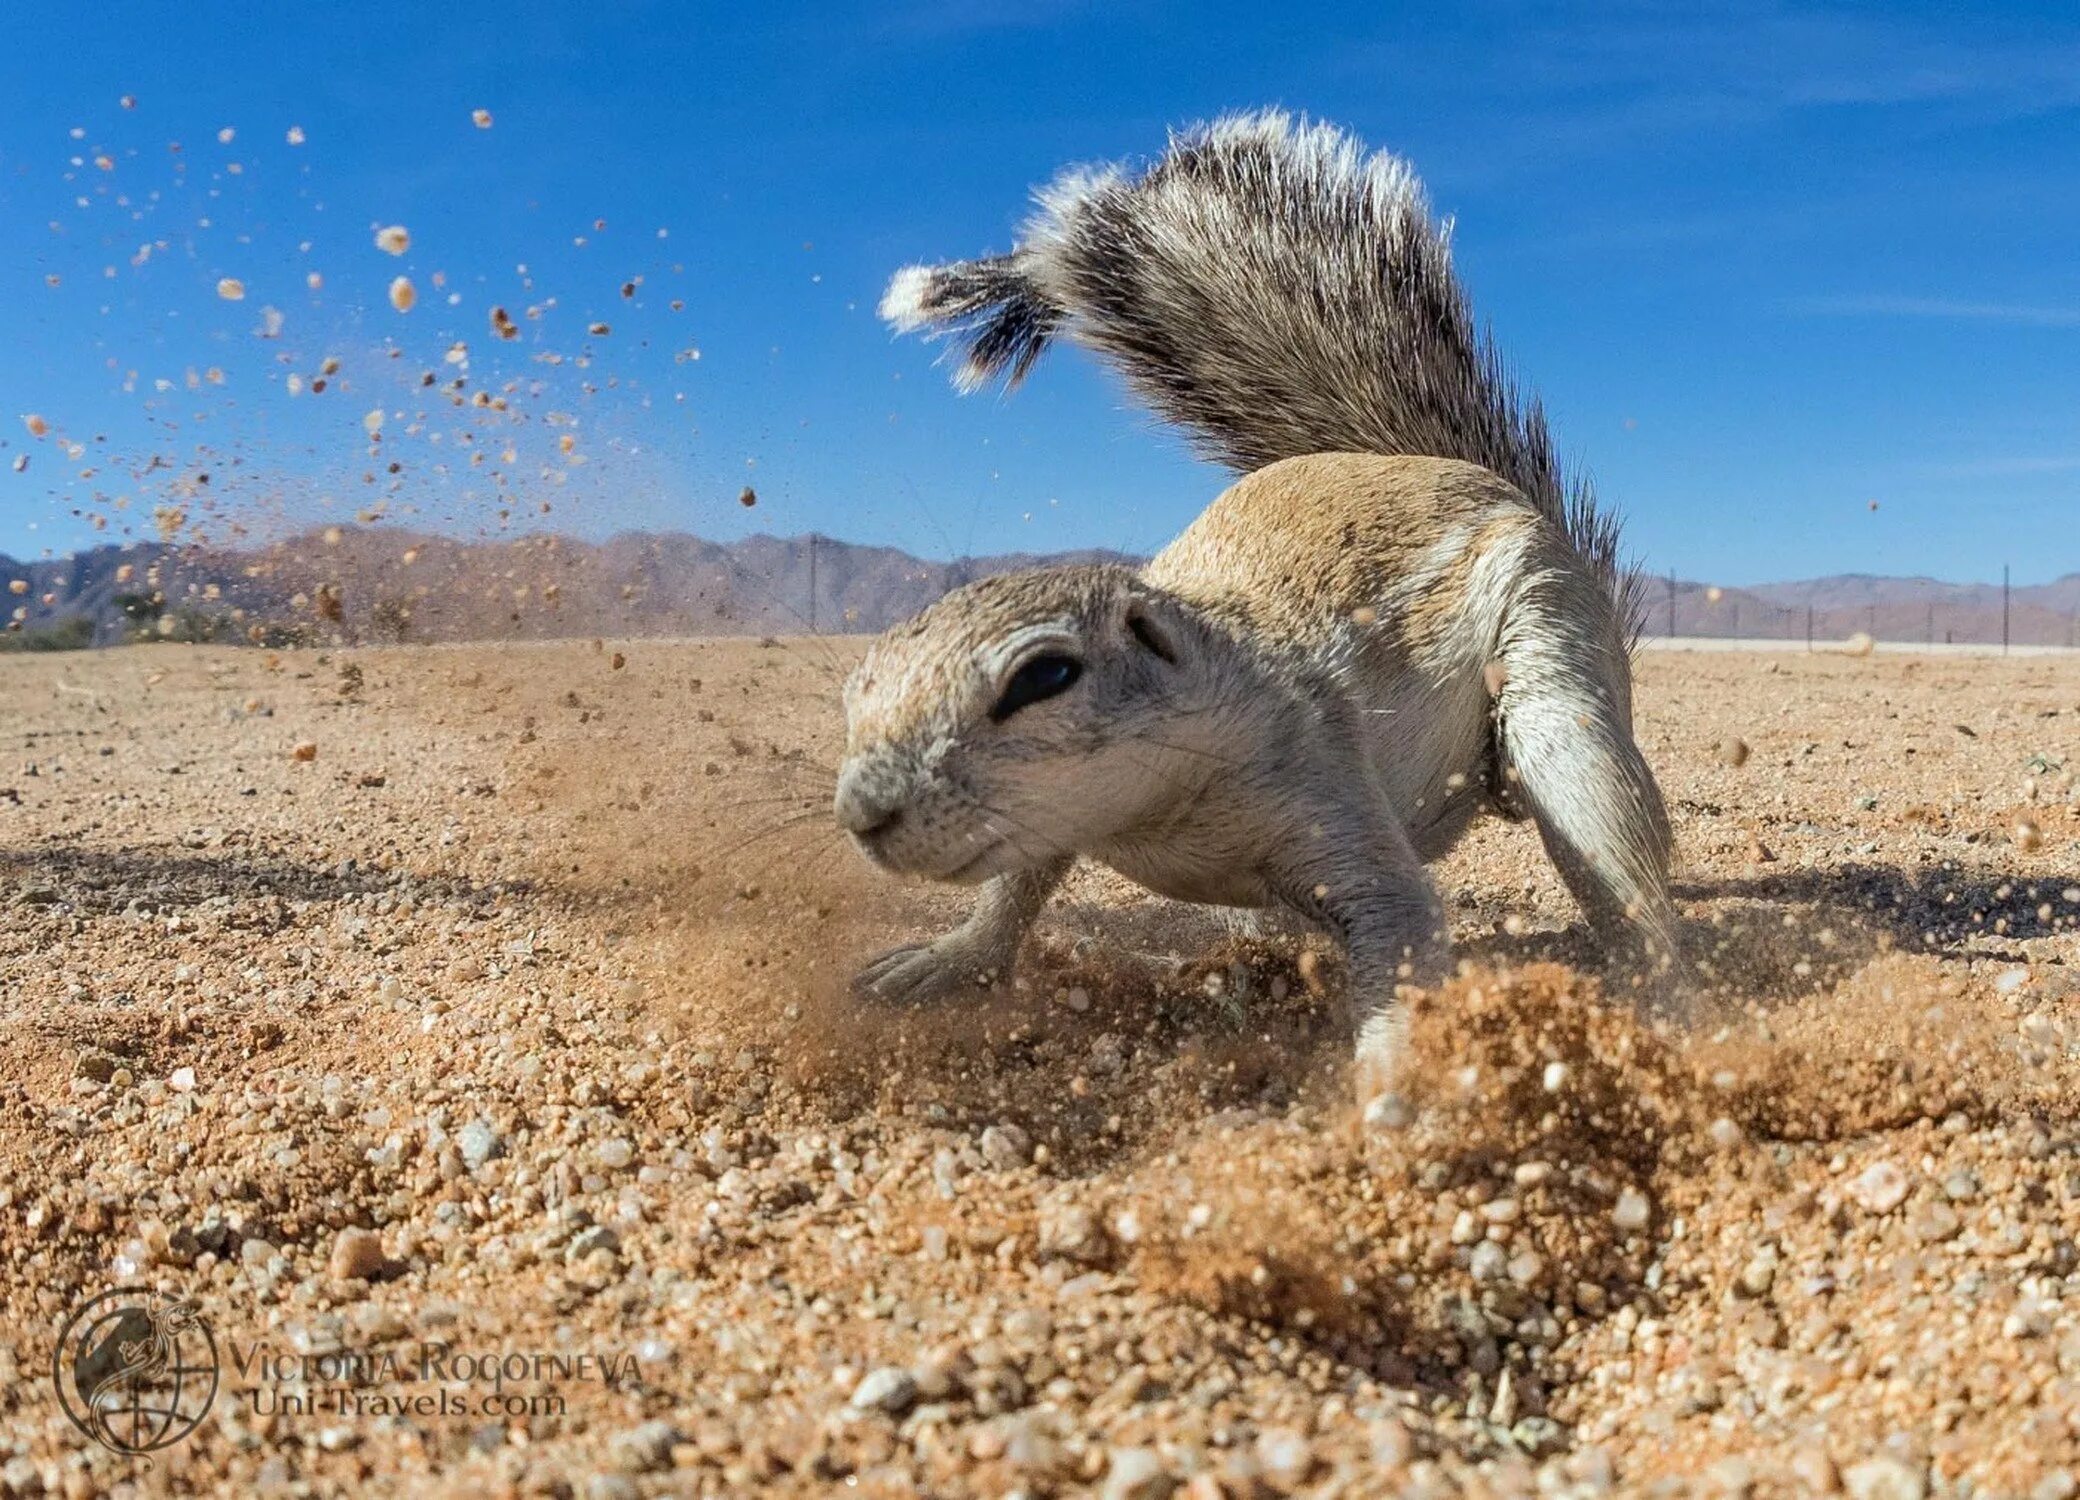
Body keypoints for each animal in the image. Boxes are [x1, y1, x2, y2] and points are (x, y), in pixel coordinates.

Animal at [836, 111, 1680, 1090]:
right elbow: (1017, 885)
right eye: (855, 684)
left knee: (1612, 859)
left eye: (1043, 677)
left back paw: (1663, 1013)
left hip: (1552, 654)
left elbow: (1400, 925)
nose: (862, 814)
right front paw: (948, 958)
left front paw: (1384, 1084)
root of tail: (1473, 477)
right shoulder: (1056, 821)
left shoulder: (1322, 777)